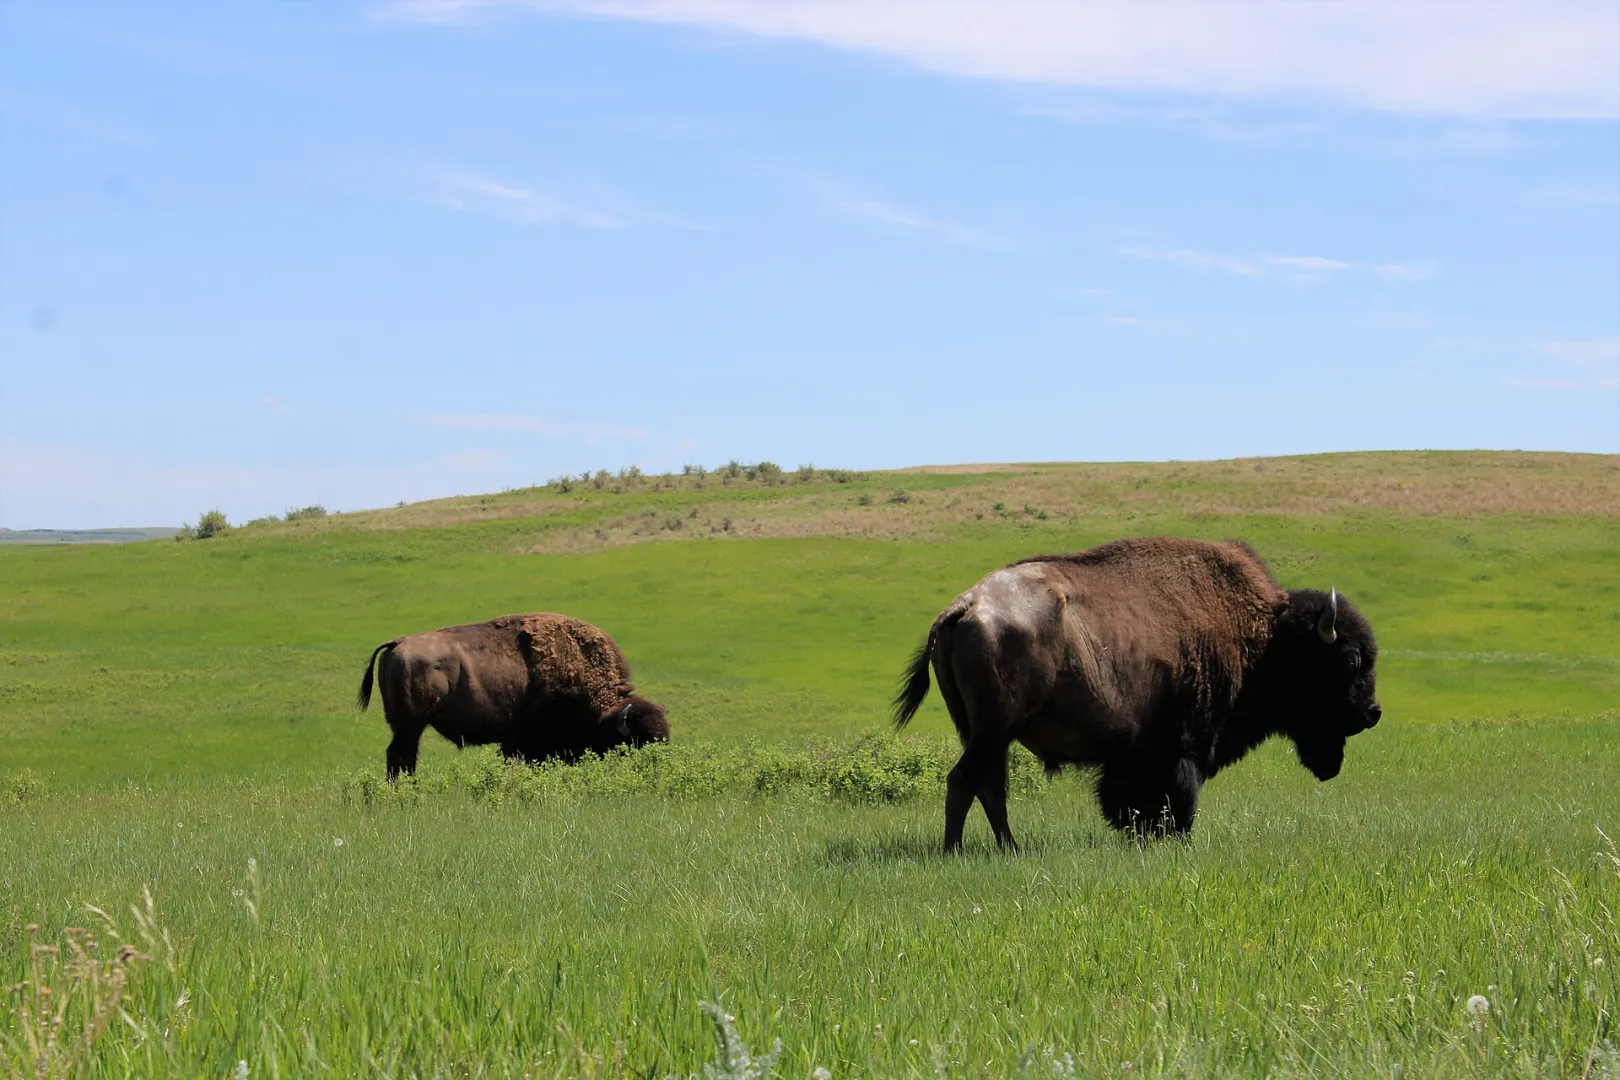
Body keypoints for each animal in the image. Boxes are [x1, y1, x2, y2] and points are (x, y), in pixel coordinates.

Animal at [358, 613, 669, 779]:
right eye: (639, 741)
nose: (657, 767)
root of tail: (398, 643)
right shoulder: (527, 743)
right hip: (410, 725)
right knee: (401, 757)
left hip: (407, 726)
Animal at [894, 537, 1381, 852]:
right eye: (1351, 660)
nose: (1372, 713)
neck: (1261, 633)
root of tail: (965, 607)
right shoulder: (1182, 744)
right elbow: (1178, 793)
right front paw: (1174, 838)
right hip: (993, 730)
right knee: (965, 781)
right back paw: (956, 851)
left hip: (987, 734)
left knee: (989, 787)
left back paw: (1007, 848)